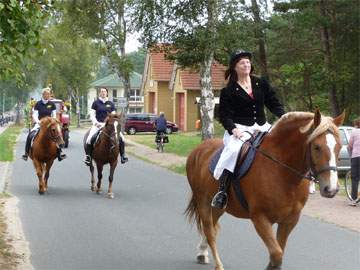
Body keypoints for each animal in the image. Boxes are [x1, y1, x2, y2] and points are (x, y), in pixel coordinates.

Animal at [186, 110, 346, 270]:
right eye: (317, 147)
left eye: (339, 146)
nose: (331, 189)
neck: (282, 171)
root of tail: (198, 150)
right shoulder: (260, 218)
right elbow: (277, 254)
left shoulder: (289, 220)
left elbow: (278, 253)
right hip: (202, 201)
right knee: (210, 232)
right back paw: (218, 264)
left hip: (218, 207)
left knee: (212, 227)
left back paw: (202, 253)